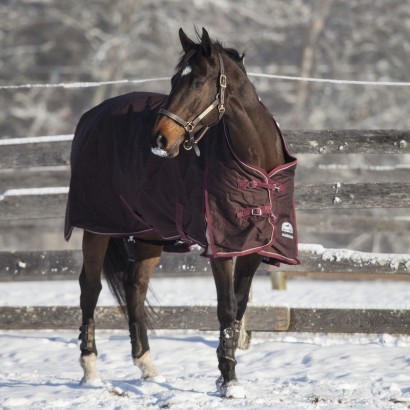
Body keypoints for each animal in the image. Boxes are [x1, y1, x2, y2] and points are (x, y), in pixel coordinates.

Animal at [66, 28, 298, 398]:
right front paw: (229, 381)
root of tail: (91, 117)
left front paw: (225, 371)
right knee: (90, 288)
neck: (257, 164)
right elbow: (225, 307)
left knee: (135, 287)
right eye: (175, 80)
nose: (159, 138)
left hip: (149, 235)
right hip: (97, 227)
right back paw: (90, 371)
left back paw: (147, 367)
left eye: (198, 82)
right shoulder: (221, 249)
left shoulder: (252, 247)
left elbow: (239, 306)